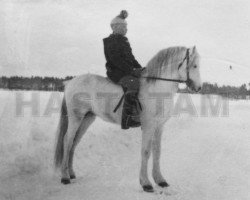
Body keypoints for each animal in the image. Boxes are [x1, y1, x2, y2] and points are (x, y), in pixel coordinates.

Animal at [54, 45, 201, 192]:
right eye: (194, 66)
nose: (199, 88)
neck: (157, 88)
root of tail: (70, 82)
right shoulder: (148, 126)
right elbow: (146, 151)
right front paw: (145, 183)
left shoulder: (159, 126)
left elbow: (157, 151)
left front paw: (160, 180)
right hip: (75, 118)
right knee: (67, 141)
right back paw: (65, 177)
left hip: (87, 119)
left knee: (74, 142)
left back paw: (71, 173)